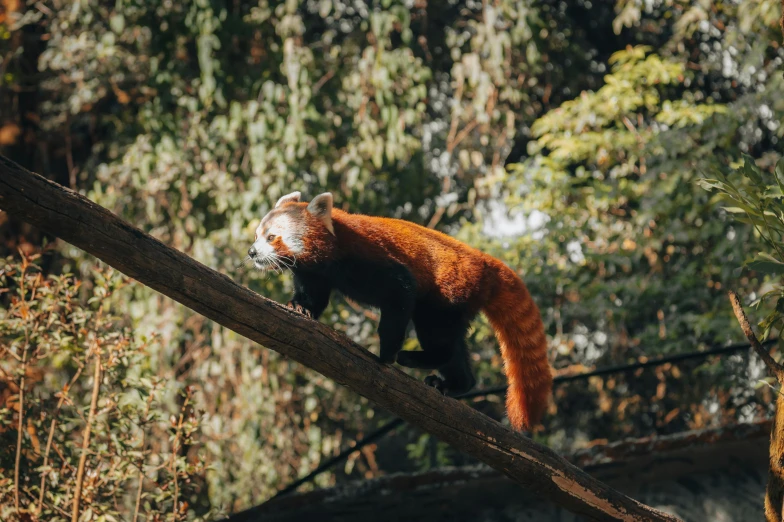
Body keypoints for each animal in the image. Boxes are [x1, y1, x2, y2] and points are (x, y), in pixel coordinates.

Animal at [250, 190, 552, 426]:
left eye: (272, 237)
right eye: (257, 235)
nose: (252, 252)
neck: (331, 252)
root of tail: (485, 261)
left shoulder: (368, 259)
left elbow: (400, 294)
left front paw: (386, 354)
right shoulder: (315, 272)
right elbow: (313, 296)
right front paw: (300, 307)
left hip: (448, 292)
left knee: (437, 335)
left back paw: (415, 358)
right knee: (454, 347)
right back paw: (455, 383)